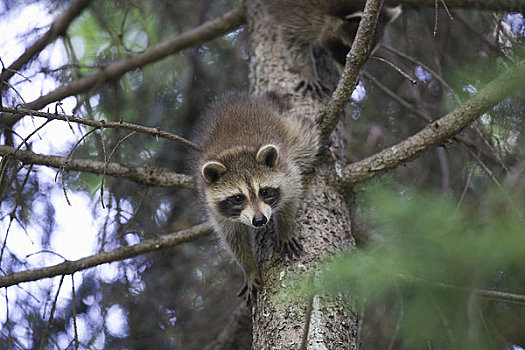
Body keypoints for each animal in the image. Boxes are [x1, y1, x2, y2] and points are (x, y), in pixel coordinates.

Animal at [260, 0, 400, 95]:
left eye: (367, 58)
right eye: (347, 53)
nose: (354, 82)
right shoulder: (301, 13)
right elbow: (294, 41)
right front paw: (306, 68)